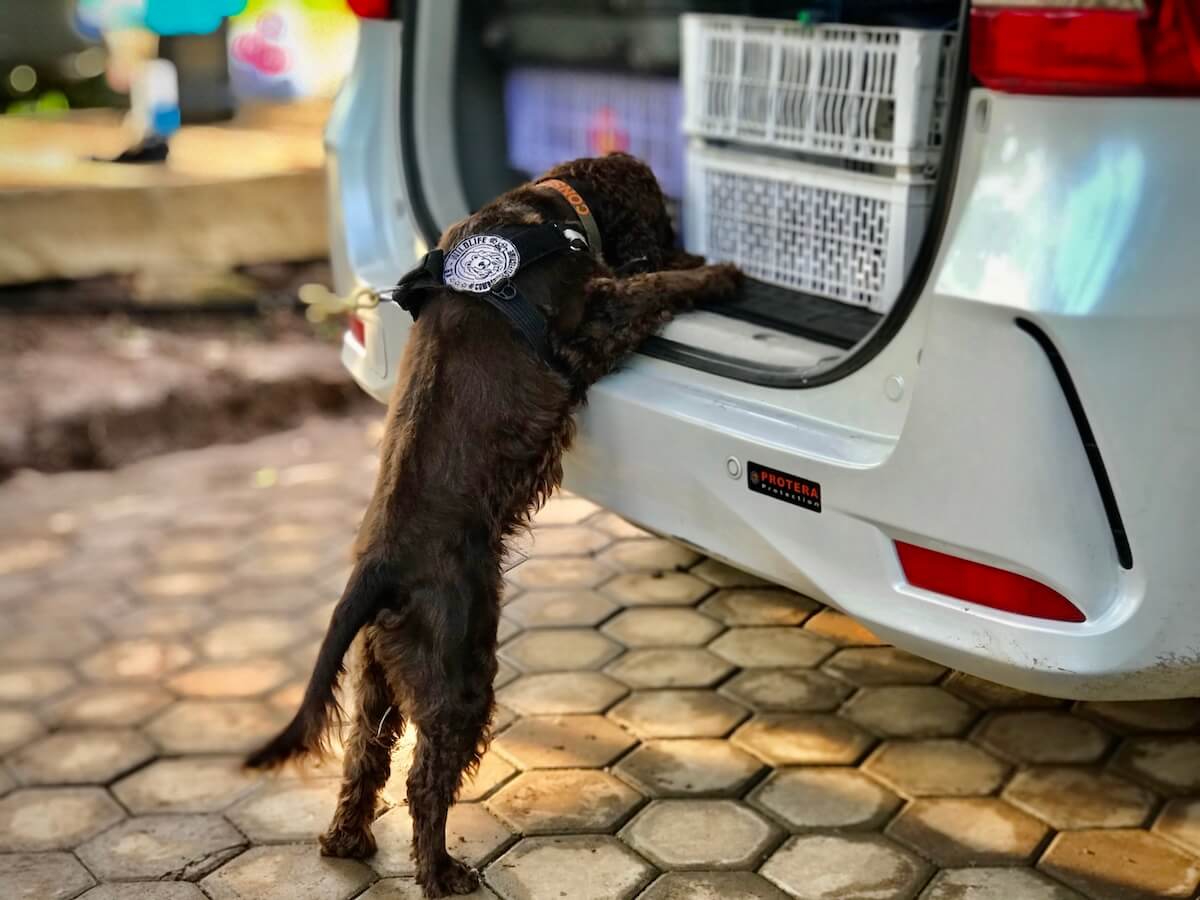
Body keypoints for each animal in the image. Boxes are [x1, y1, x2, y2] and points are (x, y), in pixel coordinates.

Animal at [244, 154, 734, 897]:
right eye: (663, 221)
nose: (692, 247)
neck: (541, 212)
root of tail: (377, 571)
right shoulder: (595, 318)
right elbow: (650, 287)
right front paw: (718, 273)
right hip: (460, 668)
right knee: (424, 779)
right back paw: (441, 872)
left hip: (381, 673)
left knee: (365, 753)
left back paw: (347, 841)